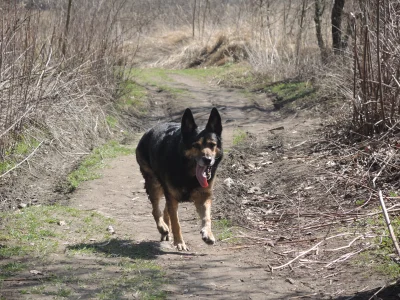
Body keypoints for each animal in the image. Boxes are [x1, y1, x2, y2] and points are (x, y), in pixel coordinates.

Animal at [137, 108, 223, 251]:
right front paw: (180, 243)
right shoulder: (171, 196)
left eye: (212, 145)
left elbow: (207, 217)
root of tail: (149, 131)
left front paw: (208, 233)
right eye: (195, 145)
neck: (188, 173)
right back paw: (163, 228)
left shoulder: (204, 196)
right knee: (156, 210)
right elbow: (176, 222)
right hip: (154, 184)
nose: (207, 160)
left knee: (165, 210)